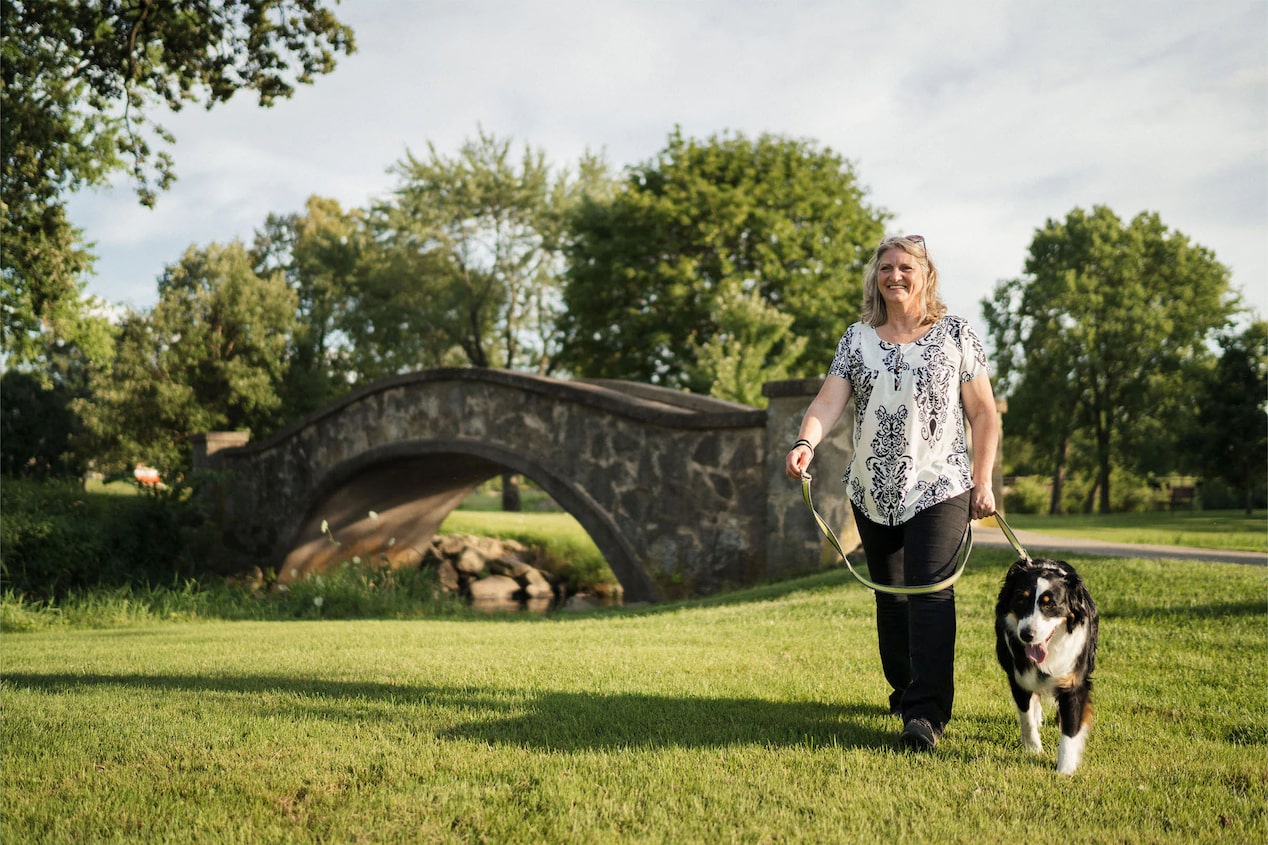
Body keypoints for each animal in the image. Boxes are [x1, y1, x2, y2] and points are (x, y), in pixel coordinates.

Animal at [994, 555, 1095, 771]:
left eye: (1050, 605)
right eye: (1020, 599)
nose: (1027, 635)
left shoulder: (1073, 682)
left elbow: (1070, 729)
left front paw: (1064, 770)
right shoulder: (1019, 678)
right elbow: (1026, 717)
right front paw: (1033, 749)